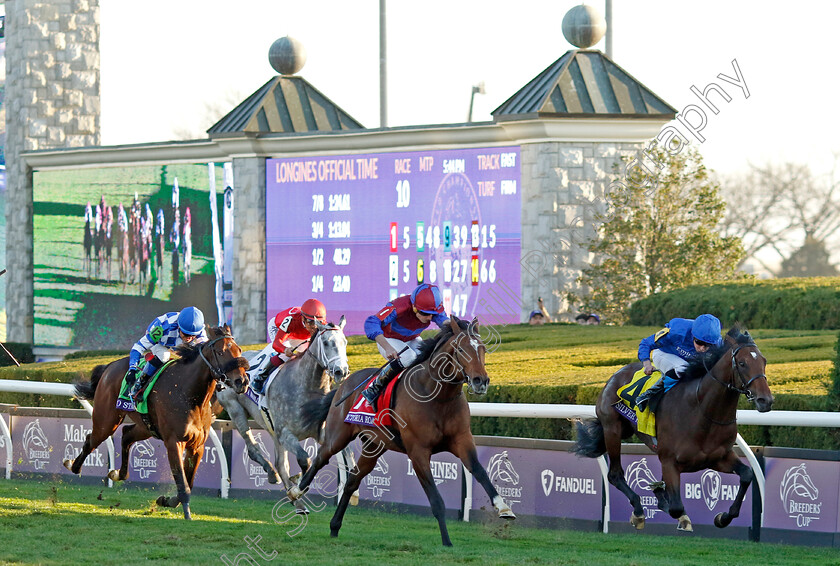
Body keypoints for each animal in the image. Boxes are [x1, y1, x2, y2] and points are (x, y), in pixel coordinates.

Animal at [62, 326, 249, 520]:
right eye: (220, 352)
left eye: (239, 350)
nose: (242, 381)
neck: (189, 394)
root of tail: (110, 366)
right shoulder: (174, 442)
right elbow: (183, 484)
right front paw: (186, 514)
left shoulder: (197, 445)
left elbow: (188, 481)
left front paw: (166, 500)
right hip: (106, 420)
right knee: (91, 439)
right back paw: (73, 465)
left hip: (146, 427)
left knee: (126, 434)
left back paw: (117, 473)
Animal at [217, 318, 352, 512]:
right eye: (326, 343)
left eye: (345, 342)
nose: (342, 371)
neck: (306, 387)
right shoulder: (286, 434)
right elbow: (305, 459)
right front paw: (299, 485)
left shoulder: (320, 432)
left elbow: (340, 452)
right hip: (236, 410)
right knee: (253, 448)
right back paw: (274, 475)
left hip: (272, 431)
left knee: (281, 464)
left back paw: (297, 502)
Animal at [288, 318, 512, 548]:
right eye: (460, 349)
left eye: (482, 348)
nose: (480, 381)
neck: (438, 397)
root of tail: (345, 384)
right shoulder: (418, 451)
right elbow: (436, 500)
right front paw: (447, 541)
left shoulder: (462, 440)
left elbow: (479, 471)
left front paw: (503, 507)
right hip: (338, 435)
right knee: (321, 458)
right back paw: (296, 491)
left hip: (374, 446)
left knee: (352, 481)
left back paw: (334, 527)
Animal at [572, 326, 776, 536]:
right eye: (742, 363)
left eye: (763, 361)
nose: (765, 400)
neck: (702, 410)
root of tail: (616, 374)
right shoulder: (670, 461)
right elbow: (676, 507)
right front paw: (675, 511)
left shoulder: (718, 457)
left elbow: (747, 474)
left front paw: (723, 517)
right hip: (612, 429)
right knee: (614, 474)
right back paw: (638, 511)